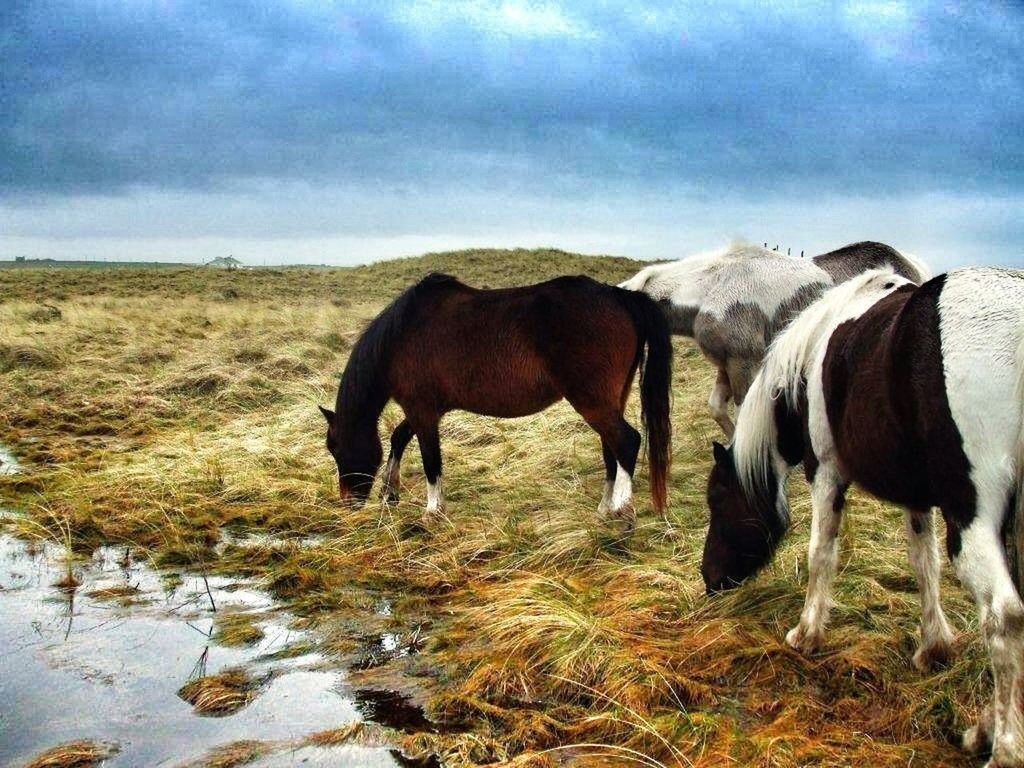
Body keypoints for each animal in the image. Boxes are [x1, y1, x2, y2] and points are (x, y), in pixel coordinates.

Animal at [319, 274, 671, 532]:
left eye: (335, 447)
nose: (347, 504)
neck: (400, 335)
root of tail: (620, 297)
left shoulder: (422, 410)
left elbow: (431, 460)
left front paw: (433, 511)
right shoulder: (427, 409)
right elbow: (398, 438)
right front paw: (389, 494)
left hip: (592, 401)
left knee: (626, 441)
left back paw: (622, 511)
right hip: (610, 400)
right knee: (611, 448)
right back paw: (603, 511)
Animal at [618, 243, 933, 442]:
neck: (711, 290)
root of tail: (911, 267)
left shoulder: (744, 364)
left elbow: (742, 411)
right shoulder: (727, 365)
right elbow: (716, 408)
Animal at [704, 268, 1024, 765]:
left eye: (716, 500)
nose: (709, 579)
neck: (813, 357)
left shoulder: (826, 471)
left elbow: (820, 554)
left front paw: (806, 633)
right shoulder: (916, 495)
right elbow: (923, 564)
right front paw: (933, 647)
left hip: (972, 520)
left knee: (1004, 616)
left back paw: (1003, 747)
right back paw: (985, 731)